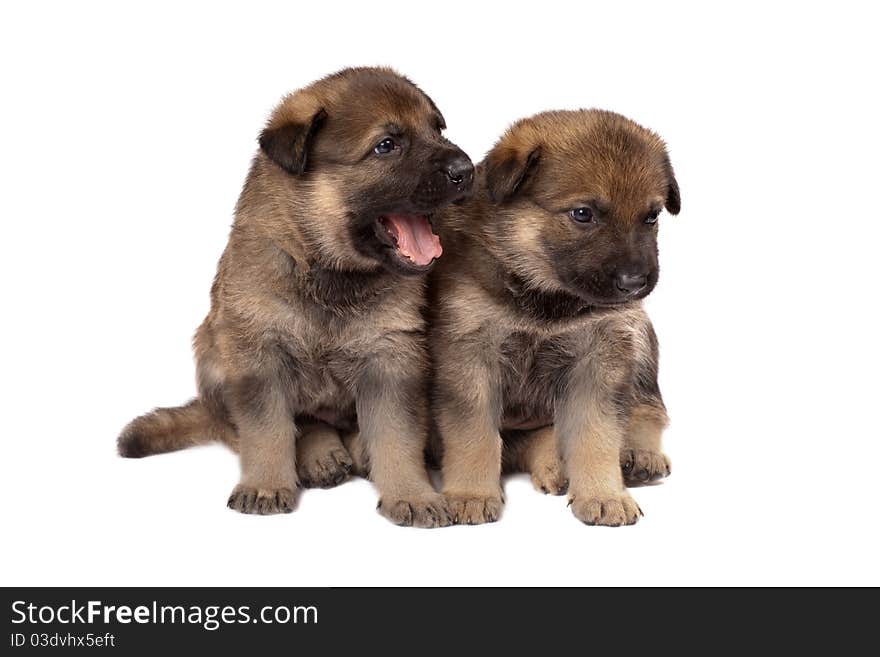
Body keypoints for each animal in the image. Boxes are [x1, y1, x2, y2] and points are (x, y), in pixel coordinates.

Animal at [118, 68, 474, 528]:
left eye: (437, 130)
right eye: (386, 145)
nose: (467, 170)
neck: (329, 272)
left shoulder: (392, 357)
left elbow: (398, 435)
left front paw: (411, 493)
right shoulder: (258, 356)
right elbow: (267, 431)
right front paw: (267, 484)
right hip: (213, 347)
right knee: (270, 425)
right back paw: (317, 455)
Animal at [430, 110, 676, 524]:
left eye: (652, 216)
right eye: (583, 214)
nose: (635, 283)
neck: (544, 298)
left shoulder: (602, 356)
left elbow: (597, 435)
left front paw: (604, 495)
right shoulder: (470, 356)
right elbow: (473, 436)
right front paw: (471, 493)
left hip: (638, 334)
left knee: (648, 407)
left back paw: (638, 455)